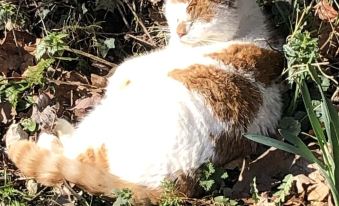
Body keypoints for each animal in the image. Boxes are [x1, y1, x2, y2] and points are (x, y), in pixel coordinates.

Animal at [5, 0, 284, 204]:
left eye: (197, 18)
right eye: (179, 11)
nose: (180, 31)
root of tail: (175, 185)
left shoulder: (160, 63)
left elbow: (127, 69)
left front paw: (114, 81)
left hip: (115, 116)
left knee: (71, 153)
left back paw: (37, 134)